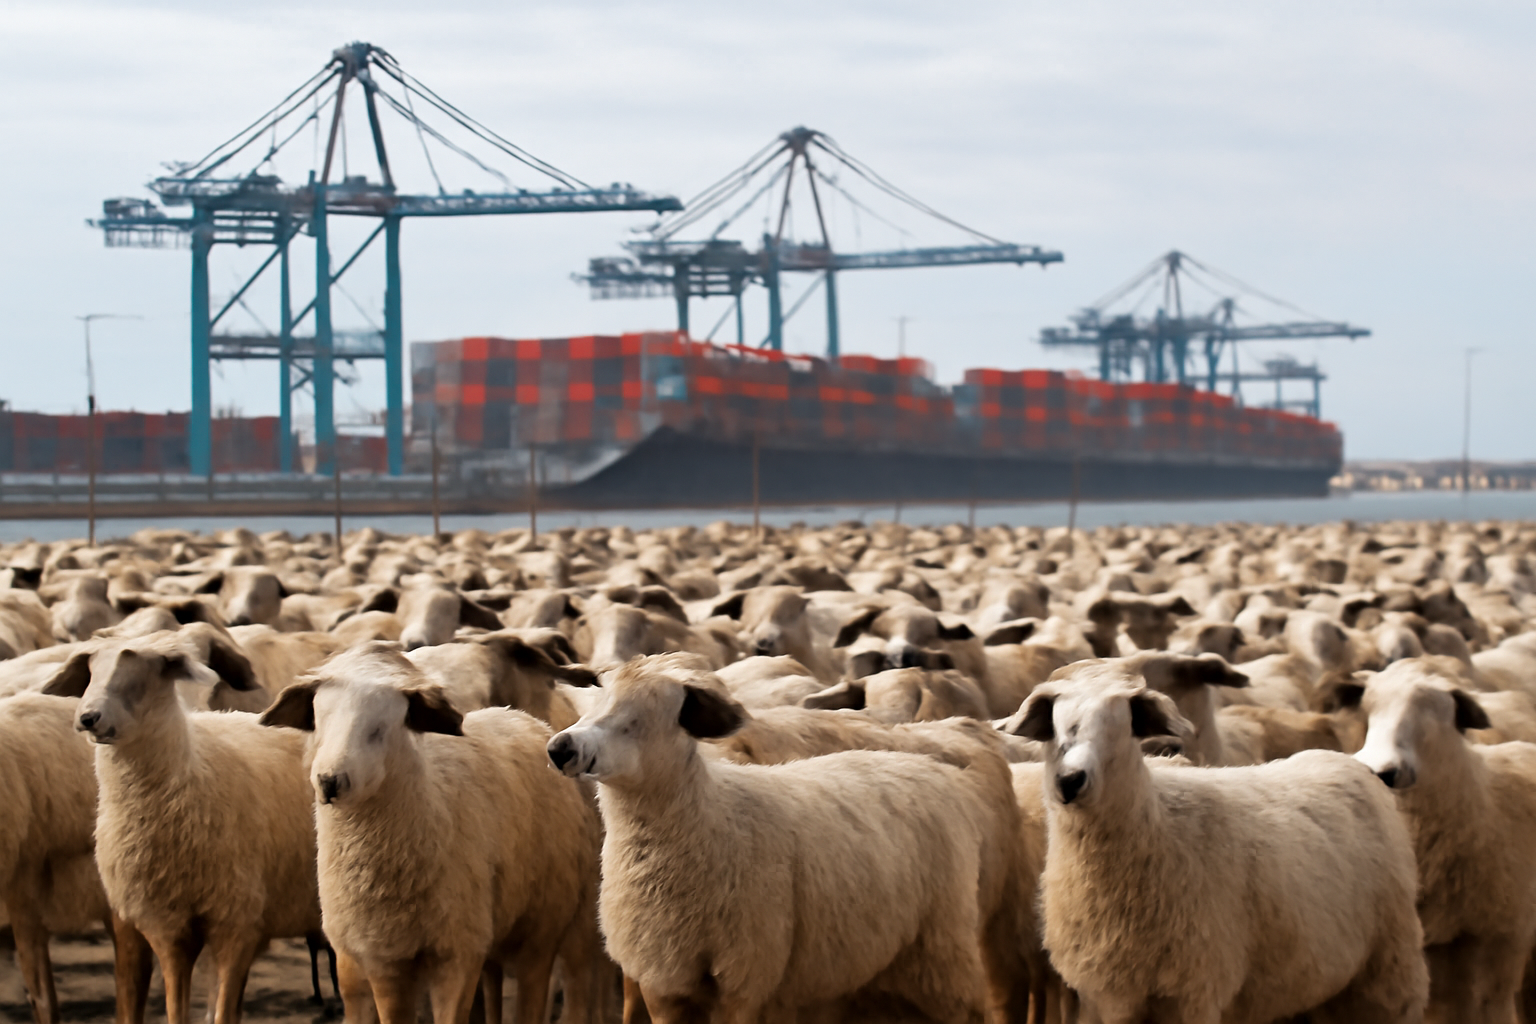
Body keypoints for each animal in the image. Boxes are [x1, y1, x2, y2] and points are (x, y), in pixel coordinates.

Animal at [39, 628, 325, 1024]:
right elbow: (178, 1006)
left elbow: (222, 1010)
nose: (88, 717)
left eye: (145, 671)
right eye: (90, 670)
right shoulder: (167, 925)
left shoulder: (236, 921)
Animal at [260, 643, 604, 1024]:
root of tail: (522, 718)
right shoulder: (382, 956)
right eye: (318, 721)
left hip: (550, 927)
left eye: (380, 728)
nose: (329, 781)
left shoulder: (456, 955)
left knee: (558, 990)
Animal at [546, 652, 993, 1024]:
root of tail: (931, 767)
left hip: (942, 951)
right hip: (864, 970)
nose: (561, 747)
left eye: (640, 718)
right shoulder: (664, 981)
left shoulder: (744, 979)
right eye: (593, 700)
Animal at [1008, 661, 1428, 1023]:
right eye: (1053, 725)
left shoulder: (1194, 992)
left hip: (1388, 971)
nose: (1070, 781)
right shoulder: (1109, 998)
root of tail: (1345, 762)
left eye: (1122, 724)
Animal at [1352, 657, 1536, 1021]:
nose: (1380, 770)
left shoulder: (1504, 941)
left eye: (1436, 708)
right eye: (1369, 705)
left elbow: (1494, 1008)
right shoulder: (1434, 947)